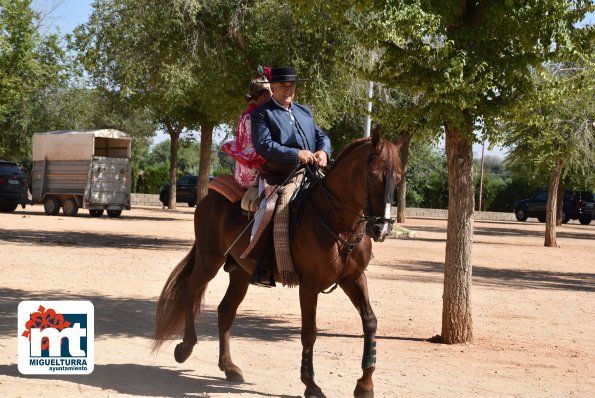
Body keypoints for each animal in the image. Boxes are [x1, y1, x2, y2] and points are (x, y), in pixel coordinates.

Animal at [154, 128, 406, 398]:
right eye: (371, 176)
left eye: (398, 178)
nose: (381, 229)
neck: (337, 223)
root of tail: (209, 196)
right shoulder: (309, 285)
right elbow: (310, 332)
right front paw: (311, 384)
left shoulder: (354, 279)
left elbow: (370, 322)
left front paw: (365, 385)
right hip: (209, 259)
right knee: (191, 292)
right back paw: (185, 347)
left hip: (240, 272)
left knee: (225, 311)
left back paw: (229, 367)